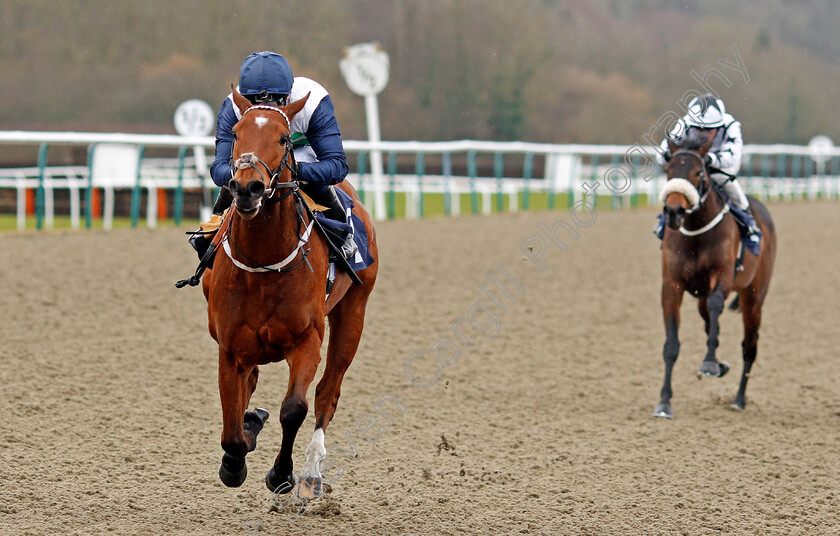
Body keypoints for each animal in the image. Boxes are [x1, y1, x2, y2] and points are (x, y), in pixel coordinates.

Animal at [203, 89, 378, 498]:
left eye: (284, 138)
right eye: (235, 133)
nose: (247, 187)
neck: (263, 262)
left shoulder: (307, 339)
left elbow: (294, 408)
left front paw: (282, 474)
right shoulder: (229, 346)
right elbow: (231, 420)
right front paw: (235, 458)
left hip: (353, 312)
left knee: (328, 392)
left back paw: (312, 474)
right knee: (250, 384)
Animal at [652, 131, 776, 418]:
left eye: (698, 172)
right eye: (668, 170)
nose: (674, 211)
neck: (696, 233)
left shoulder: (723, 276)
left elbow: (717, 305)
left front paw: (709, 364)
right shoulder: (671, 286)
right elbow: (671, 345)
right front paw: (664, 401)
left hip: (754, 296)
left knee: (749, 346)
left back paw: (739, 399)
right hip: (701, 295)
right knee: (710, 322)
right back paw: (722, 366)